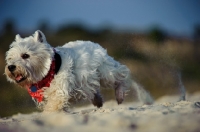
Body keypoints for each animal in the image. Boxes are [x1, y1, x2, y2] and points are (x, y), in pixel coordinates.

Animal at [4, 30, 153, 111]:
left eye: (25, 55)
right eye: (10, 58)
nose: (10, 67)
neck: (48, 72)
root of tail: (93, 43)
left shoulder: (60, 91)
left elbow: (53, 106)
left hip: (106, 72)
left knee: (122, 74)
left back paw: (120, 95)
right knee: (95, 90)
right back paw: (98, 101)